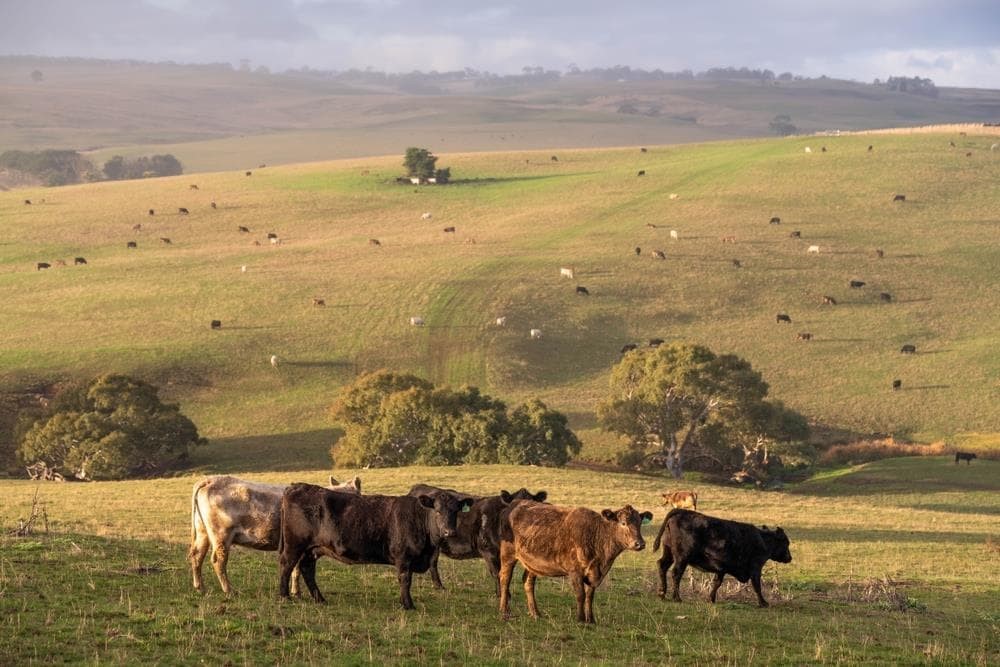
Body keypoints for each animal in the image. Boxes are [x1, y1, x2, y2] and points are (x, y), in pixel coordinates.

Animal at [189, 474, 362, 596]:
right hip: (221, 535)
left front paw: (295, 591)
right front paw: (296, 592)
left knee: (197, 555)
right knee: (218, 561)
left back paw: (200, 588)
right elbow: (296, 568)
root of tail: (209, 480)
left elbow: (295, 568)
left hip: (203, 532)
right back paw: (229, 590)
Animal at [278, 482, 472, 608]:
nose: (449, 531)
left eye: (455, 511)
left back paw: (320, 599)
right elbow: (405, 579)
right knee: (287, 565)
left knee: (307, 570)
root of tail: (296, 487)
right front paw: (408, 604)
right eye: (437, 511)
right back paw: (285, 596)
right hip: (294, 545)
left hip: (312, 549)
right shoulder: (404, 557)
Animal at [404, 486, 548, 596]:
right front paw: (501, 594)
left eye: (533, 505)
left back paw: (439, 586)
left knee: (432, 562)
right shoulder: (488, 551)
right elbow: (497, 573)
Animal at [500, 504, 656, 624]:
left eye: (639, 523)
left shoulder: (594, 574)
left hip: (533, 563)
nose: (640, 543)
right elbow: (580, 594)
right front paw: (580, 619)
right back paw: (504, 611)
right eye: (623, 523)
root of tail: (513, 506)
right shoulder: (575, 571)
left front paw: (591, 619)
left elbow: (590, 596)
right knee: (505, 579)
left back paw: (535, 613)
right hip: (508, 554)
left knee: (528, 582)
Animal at [652, 508, 792, 608]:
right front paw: (763, 603)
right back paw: (676, 598)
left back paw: (662, 594)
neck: (763, 539)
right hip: (682, 557)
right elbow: (757, 586)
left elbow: (716, 583)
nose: (789, 558)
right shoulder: (755, 568)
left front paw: (711, 599)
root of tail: (682, 511)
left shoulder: (721, 569)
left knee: (662, 566)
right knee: (676, 573)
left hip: (669, 553)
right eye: (786, 542)